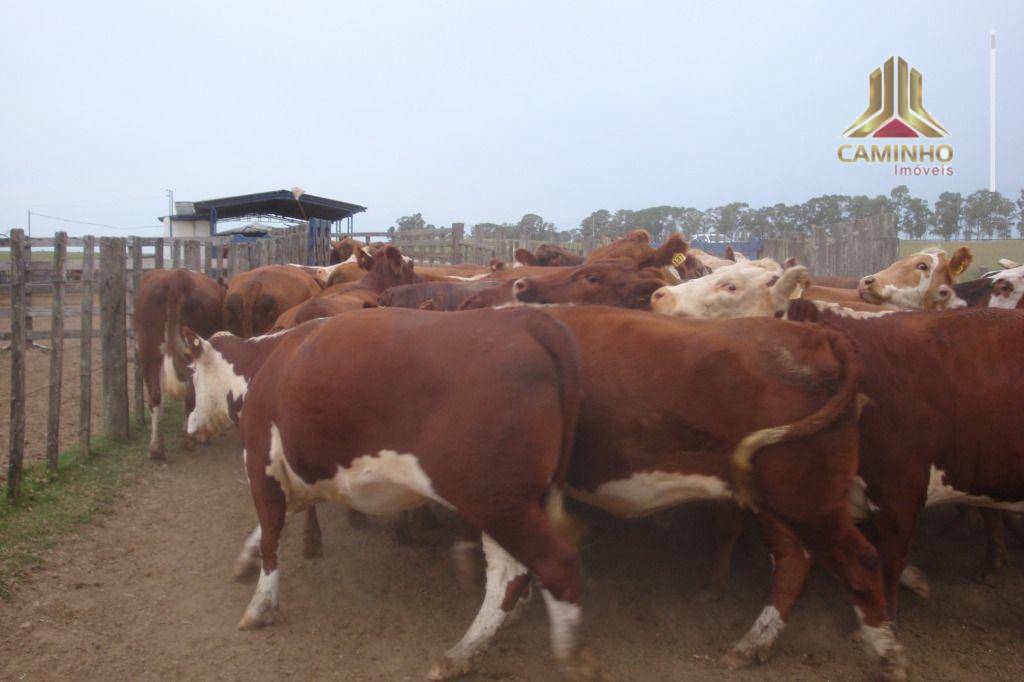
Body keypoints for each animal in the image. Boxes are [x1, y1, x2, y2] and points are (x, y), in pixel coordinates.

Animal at [134, 268, 224, 458]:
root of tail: (176, 278)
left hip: (148, 351)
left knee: (155, 397)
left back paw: (156, 449)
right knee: (190, 396)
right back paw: (188, 440)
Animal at [182, 309, 593, 679]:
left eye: (192, 373)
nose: (189, 426)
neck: (265, 365)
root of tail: (528, 321)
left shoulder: (260, 465)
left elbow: (270, 534)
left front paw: (261, 605)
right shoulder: (297, 476)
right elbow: (273, 524)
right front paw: (245, 560)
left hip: (496, 502)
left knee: (551, 563)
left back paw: (559, 657)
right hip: (511, 503)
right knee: (511, 575)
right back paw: (473, 647)